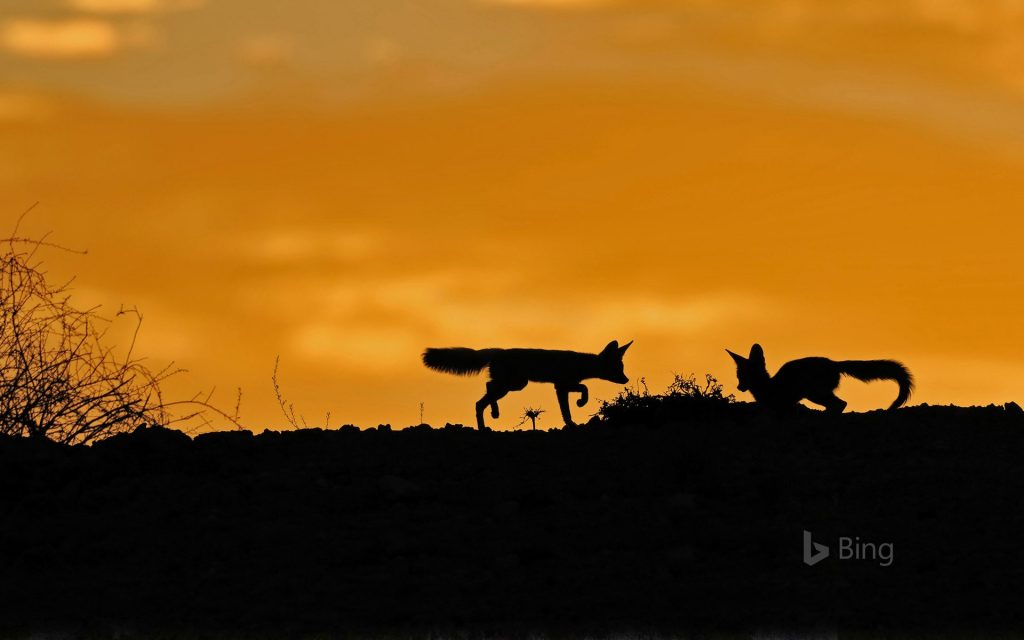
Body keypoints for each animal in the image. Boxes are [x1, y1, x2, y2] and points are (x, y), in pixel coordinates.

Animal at [423, 339, 630, 430]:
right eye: (617, 369)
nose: (626, 379)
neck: (579, 364)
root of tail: (498, 350)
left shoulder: (562, 386)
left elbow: (573, 401)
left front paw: (572, 419)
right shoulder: (562, 385)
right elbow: (581, 393)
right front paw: (578, 408)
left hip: (515, 384)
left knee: (485, 392)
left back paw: (493, 414)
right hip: (512, 385)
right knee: (482, 399)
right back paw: (486, 422)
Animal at [724, 342, 917, 411]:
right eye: (739, 376)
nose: (739, 387)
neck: (769, 386)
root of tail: (834, 363)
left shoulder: (784, 404)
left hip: (814, 393)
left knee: (841, 404)